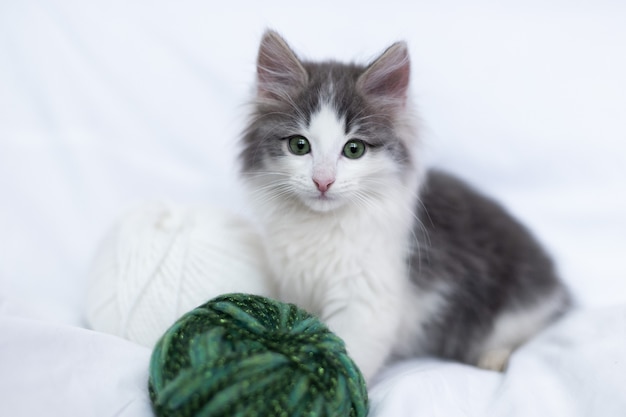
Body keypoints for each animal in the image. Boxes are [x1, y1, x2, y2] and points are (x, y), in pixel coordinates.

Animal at [239, 30, 572, 384]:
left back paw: (492, 358)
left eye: (354, 149)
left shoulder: (368, 298)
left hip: (516, 306)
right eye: (299, 145)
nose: (323, 181)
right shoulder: (295, 282)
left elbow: (349, 352)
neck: (320, 226)